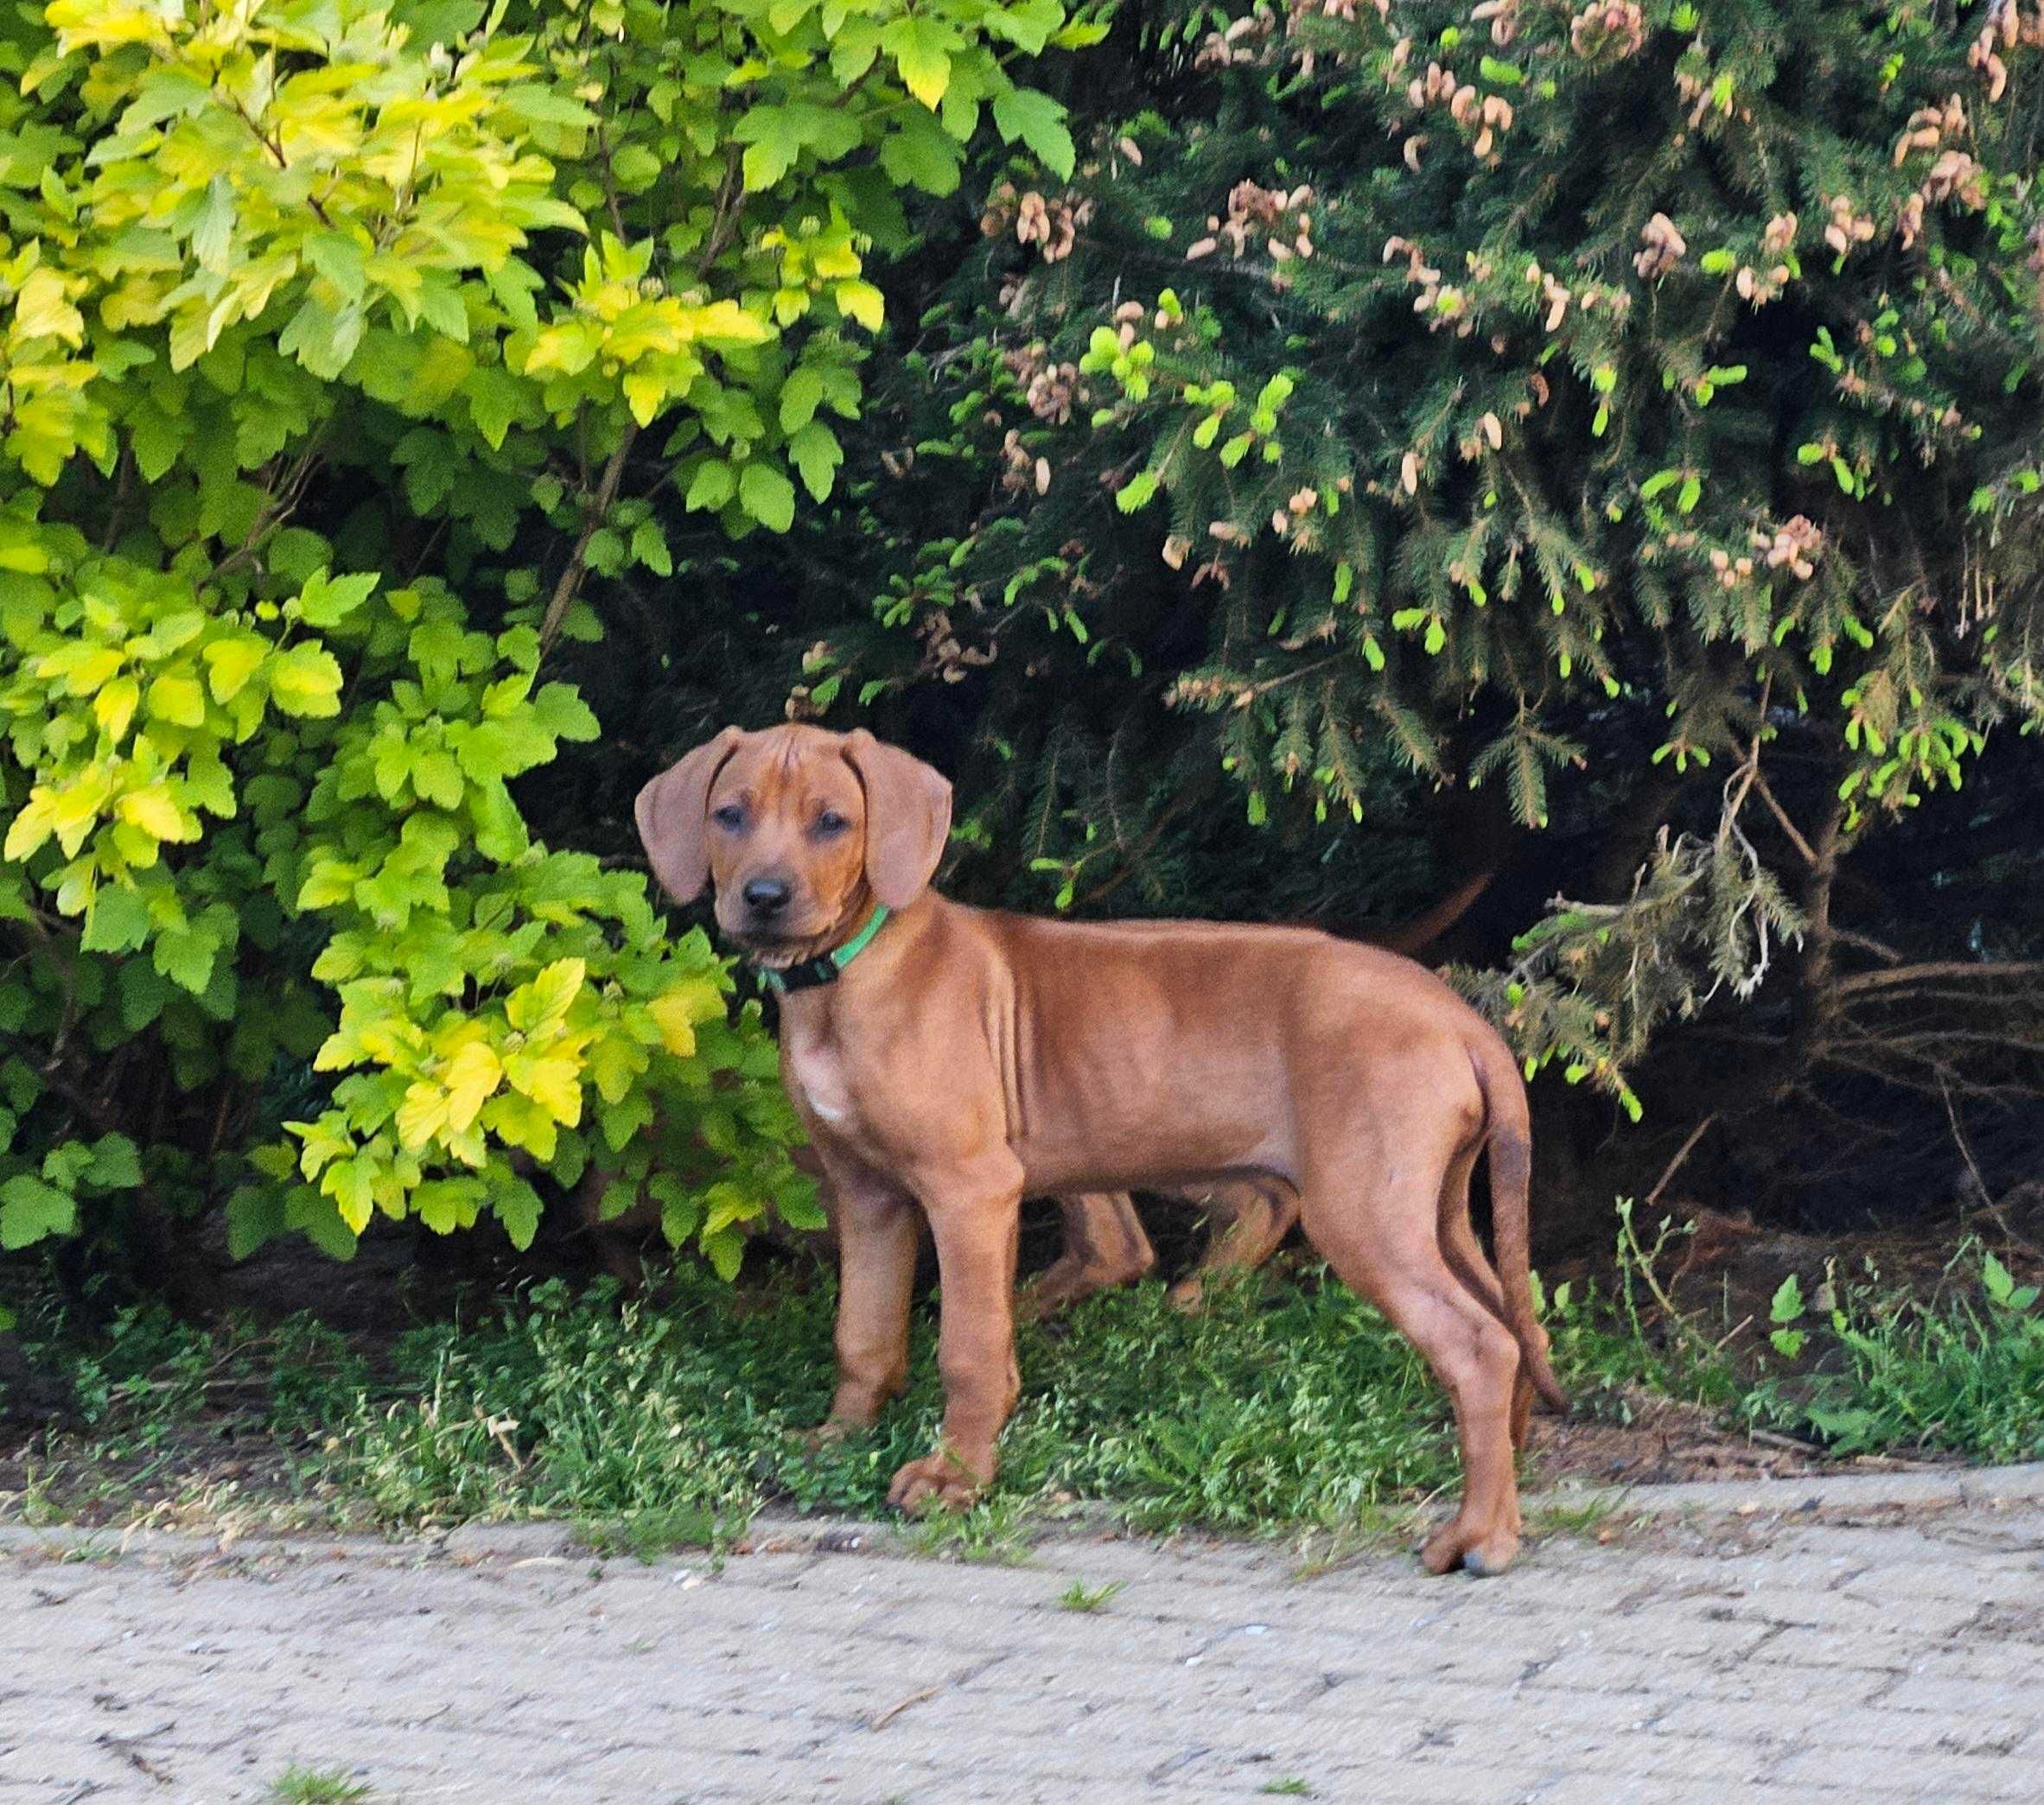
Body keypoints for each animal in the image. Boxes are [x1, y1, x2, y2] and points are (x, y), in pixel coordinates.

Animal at [637, 728, 1561, 1578]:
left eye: (833, 821)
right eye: (729, 814)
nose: (763, 896)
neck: (850, 973)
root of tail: (1459, 1014)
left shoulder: (971, 1190)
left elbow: (969, 1348)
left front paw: (955, 1478)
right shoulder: (868, 1196)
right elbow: (861, 1334)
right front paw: (838, 1438)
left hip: (1364, 1213)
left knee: (1478, 1346)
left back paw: (1477, 1536)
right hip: (1431, 1207)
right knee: (1513, 1329)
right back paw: (1505, 1499)